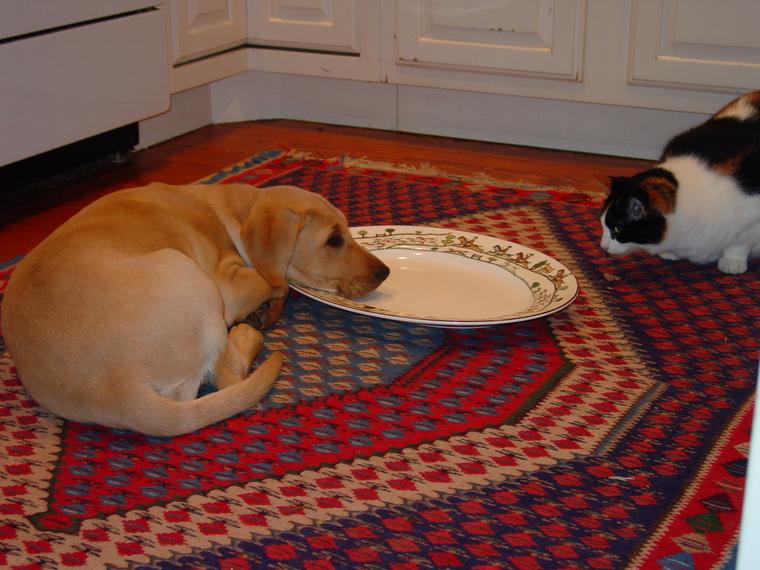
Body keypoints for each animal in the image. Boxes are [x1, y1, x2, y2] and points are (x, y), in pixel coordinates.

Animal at [1, 183, 389, 436]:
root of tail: (116, 387)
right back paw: (247, 333)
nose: (384, 271)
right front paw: (271, 302)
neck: (229, 213)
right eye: (334, 240)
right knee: (227, 373)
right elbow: (272, 281)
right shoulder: (229, 284)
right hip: (187, 273)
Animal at [600, 91, 760, 274]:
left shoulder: (752, 216)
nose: (602, 246)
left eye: (618, 228)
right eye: (602, 224)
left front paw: (732, 261)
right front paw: (671, 253)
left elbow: (740, 242)